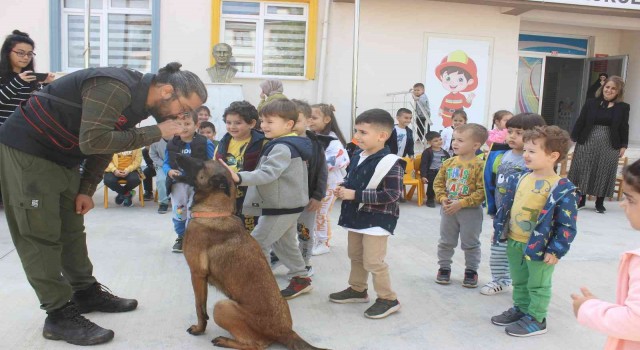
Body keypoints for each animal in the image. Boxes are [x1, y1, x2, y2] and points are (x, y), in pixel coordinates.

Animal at [174, 157, 328, 350]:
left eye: (201, 164)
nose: (176, 154)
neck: (214, 211)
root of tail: (286, 331)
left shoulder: (197, 274)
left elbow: (199, 308)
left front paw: (199, 329)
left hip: (222, 306)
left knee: (256, 345)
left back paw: (225, 341)